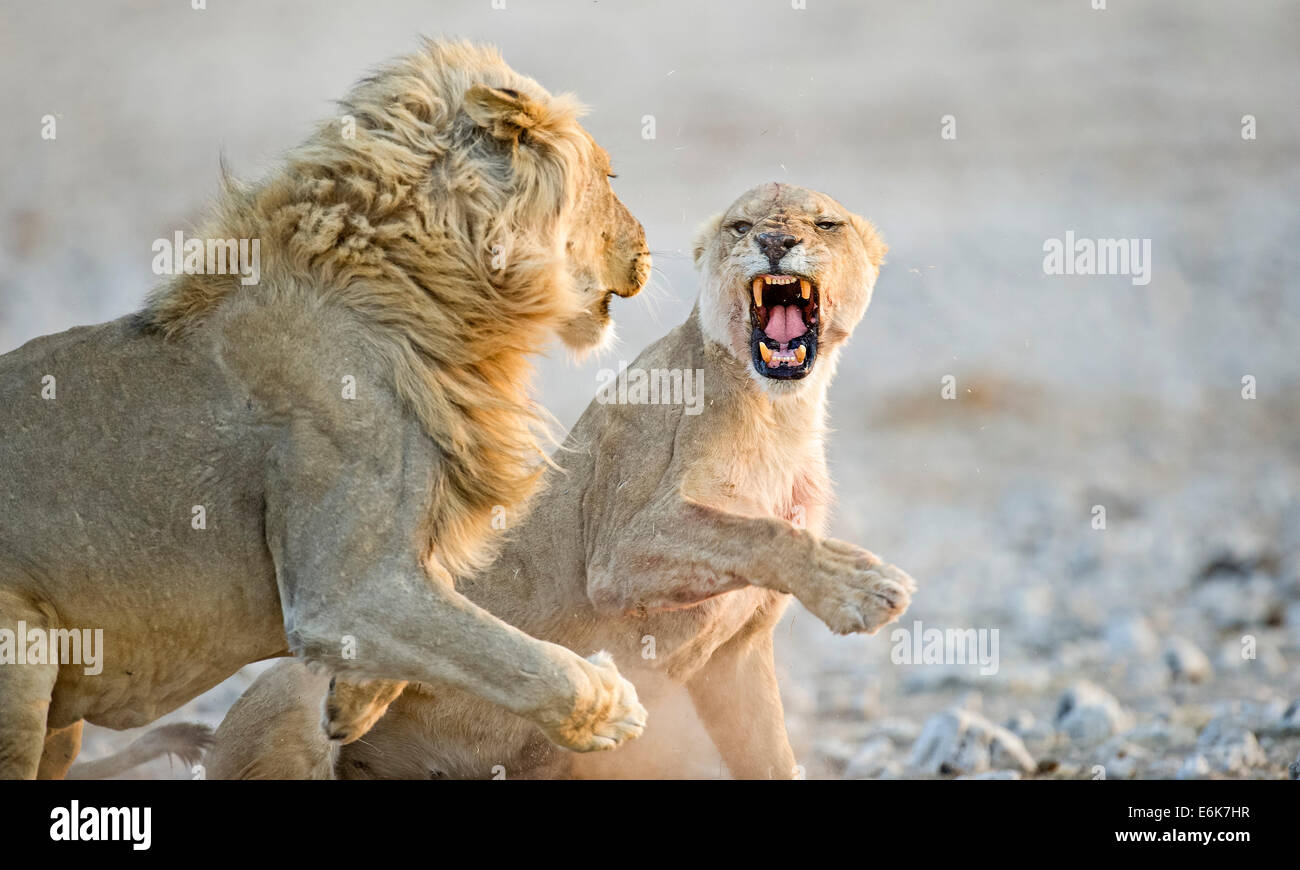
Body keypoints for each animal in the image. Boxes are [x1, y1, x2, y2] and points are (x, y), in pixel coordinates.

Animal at [0, 39, 650, 780]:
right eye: (610, 175)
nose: (647, 247)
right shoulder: (339, 590)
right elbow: (515, 655)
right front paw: (611, 704)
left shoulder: (378, 584)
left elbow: (450, 632)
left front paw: (352, 702)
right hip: (23, 658)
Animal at [202, 183, 915, 780]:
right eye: (740, 226)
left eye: (826, 223)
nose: (773, 242)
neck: (781, 412)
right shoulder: (622, 547)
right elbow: (753, 532)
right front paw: (861, 586)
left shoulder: (736, 654)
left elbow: (769, 756)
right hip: (291, 698)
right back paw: (353, 699)